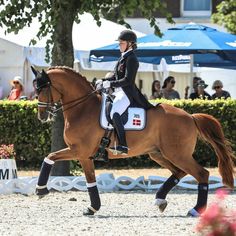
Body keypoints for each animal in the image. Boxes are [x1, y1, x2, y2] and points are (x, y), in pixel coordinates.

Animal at [31, 66, 234, 218]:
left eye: (43, 88)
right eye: (35, 89)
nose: (41, 116)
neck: (82, 108)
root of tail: (190, 117)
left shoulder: (81, 153)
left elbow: (87, 178)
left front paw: (91, 207)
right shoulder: (78, 151)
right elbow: (50, 157)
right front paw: (41, 190)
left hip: (177, 154)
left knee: (201, 174)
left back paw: (195, 210)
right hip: (158, 154)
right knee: (179, 172)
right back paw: (160, 200)